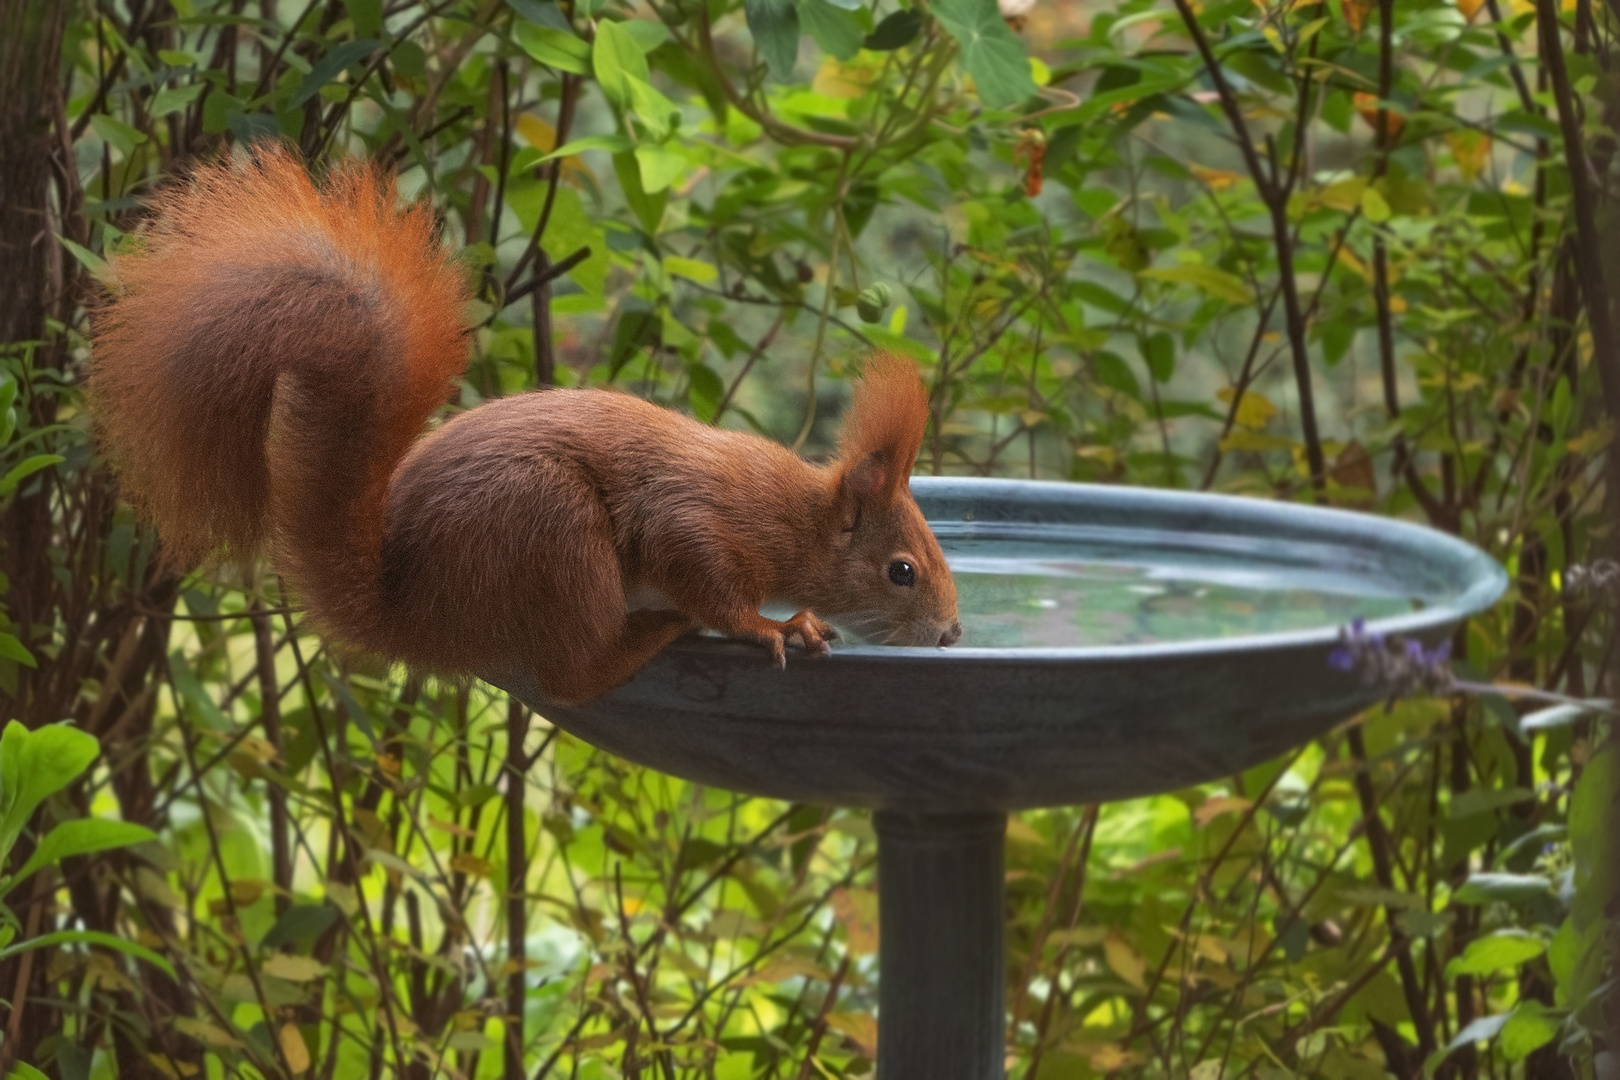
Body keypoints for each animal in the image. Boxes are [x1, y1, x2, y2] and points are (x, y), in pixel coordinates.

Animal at [88, 148, 959, 705]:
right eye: (901, 571)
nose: (952, 636)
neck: (794, 517)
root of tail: (416, 615)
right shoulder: (700, 521)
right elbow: (704, 578)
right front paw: (775, 626)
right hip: (551, 530)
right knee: (573, 679)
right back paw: (651, 630)